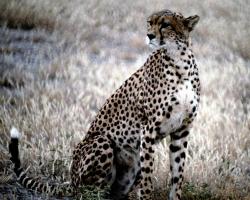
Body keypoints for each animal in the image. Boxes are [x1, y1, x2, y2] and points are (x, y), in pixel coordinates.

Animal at [8, 9, 200, 200]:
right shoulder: (148, 128)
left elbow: (178, 174)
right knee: (89, 192)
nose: (149, 35)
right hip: (102, 143)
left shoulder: (182, 130)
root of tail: (72, 180)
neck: (179, 61)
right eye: (149, 22)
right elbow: (147, 178)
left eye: (166, 24)